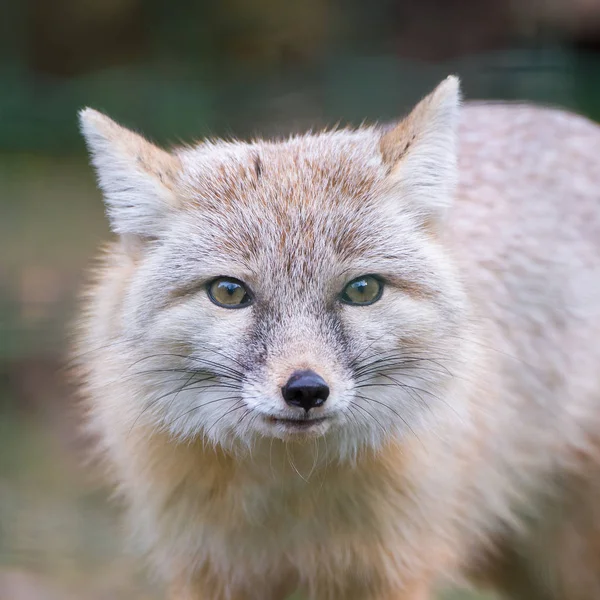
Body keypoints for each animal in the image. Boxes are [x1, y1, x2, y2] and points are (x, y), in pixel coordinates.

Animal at [74, 76, 600, 600]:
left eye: (362, 290)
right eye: (229, 292)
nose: (306, 390)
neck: (291, 492)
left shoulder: (390, 572)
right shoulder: (209, 573)